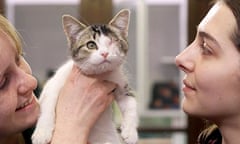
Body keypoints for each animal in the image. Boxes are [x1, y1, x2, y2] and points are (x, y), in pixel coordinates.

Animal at [31, 9, 138, 144]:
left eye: (112, 41)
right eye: (91, 45)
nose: (104, 53)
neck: (98, 74)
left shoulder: (120, 82)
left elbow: (131, 104)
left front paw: (130, 132)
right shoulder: (54, 82)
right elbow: (47, 102)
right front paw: (42, 132)